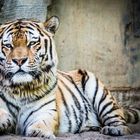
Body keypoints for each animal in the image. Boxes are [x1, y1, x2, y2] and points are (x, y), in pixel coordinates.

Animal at [0, 15, 139, 138]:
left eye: (32, 43)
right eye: (8, 45)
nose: (19, 60)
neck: (20, 89)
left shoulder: (46, 111)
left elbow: (41, 123)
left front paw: (39, 133)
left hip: (100, 94)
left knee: (121, 123)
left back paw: (114, 129)